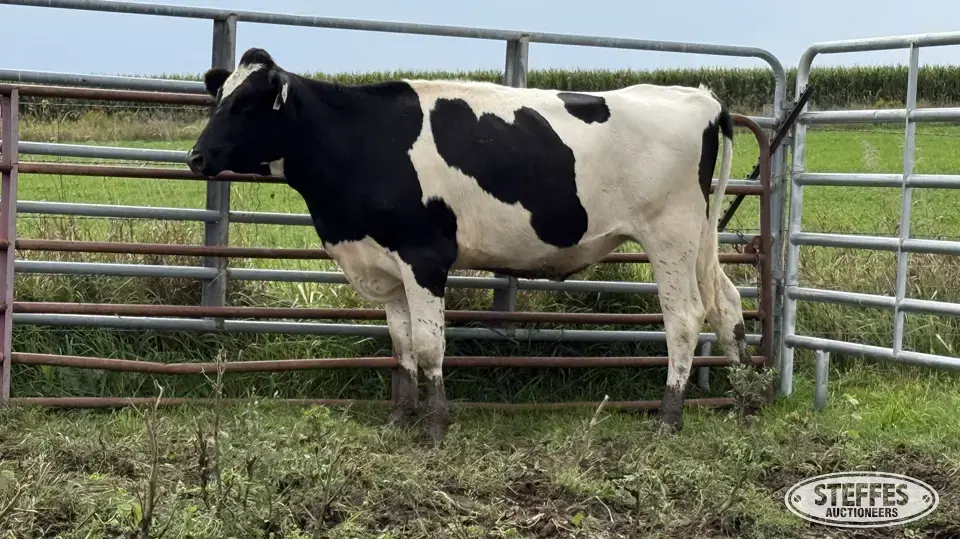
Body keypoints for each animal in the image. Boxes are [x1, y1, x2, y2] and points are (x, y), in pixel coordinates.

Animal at [186, 47, 749, 444]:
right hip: (699, 239)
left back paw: (669, 417)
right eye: (219, 99)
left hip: (671, 235)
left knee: (684, 317)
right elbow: (401, 344)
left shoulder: (424, 256)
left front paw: (435, 426)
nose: (195, 157)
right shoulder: (385, 264)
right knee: (729, 304)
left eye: (246, 104)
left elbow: (430, 343)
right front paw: (400, 417)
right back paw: (746, 392)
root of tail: (700, 97)